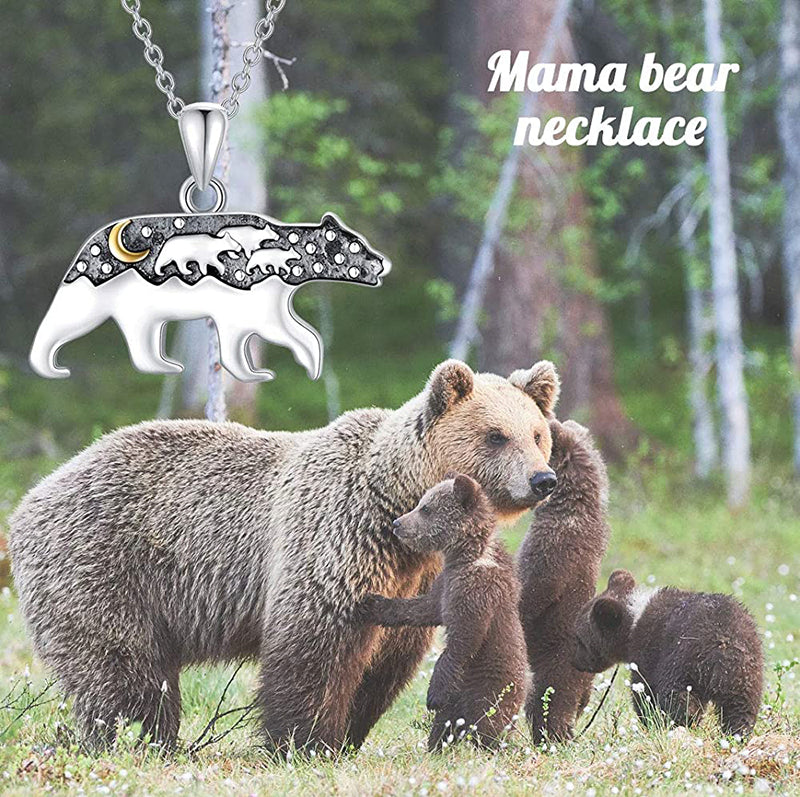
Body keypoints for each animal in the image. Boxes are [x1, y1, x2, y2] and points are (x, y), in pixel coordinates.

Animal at [357, 473, 527, 751]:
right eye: (420, 503)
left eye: (426, 508)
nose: (397, 523)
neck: (465, 554)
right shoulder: (445, 584)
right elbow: (423, 609)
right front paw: (371, 602)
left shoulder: (477, 591)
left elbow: (463, 639)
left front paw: (433, 694)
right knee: (446, 723)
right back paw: (438, 745)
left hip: (490, 687)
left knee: (487, 722)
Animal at [572, 569, 764, 738]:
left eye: (579, 638)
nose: (575, 662)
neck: (632, 625)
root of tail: (722, 645)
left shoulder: (648, 654)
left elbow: (644, 691)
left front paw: (650, 720)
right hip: (746, 673)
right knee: (741, 708)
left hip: (683, 663)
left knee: (679, 700)